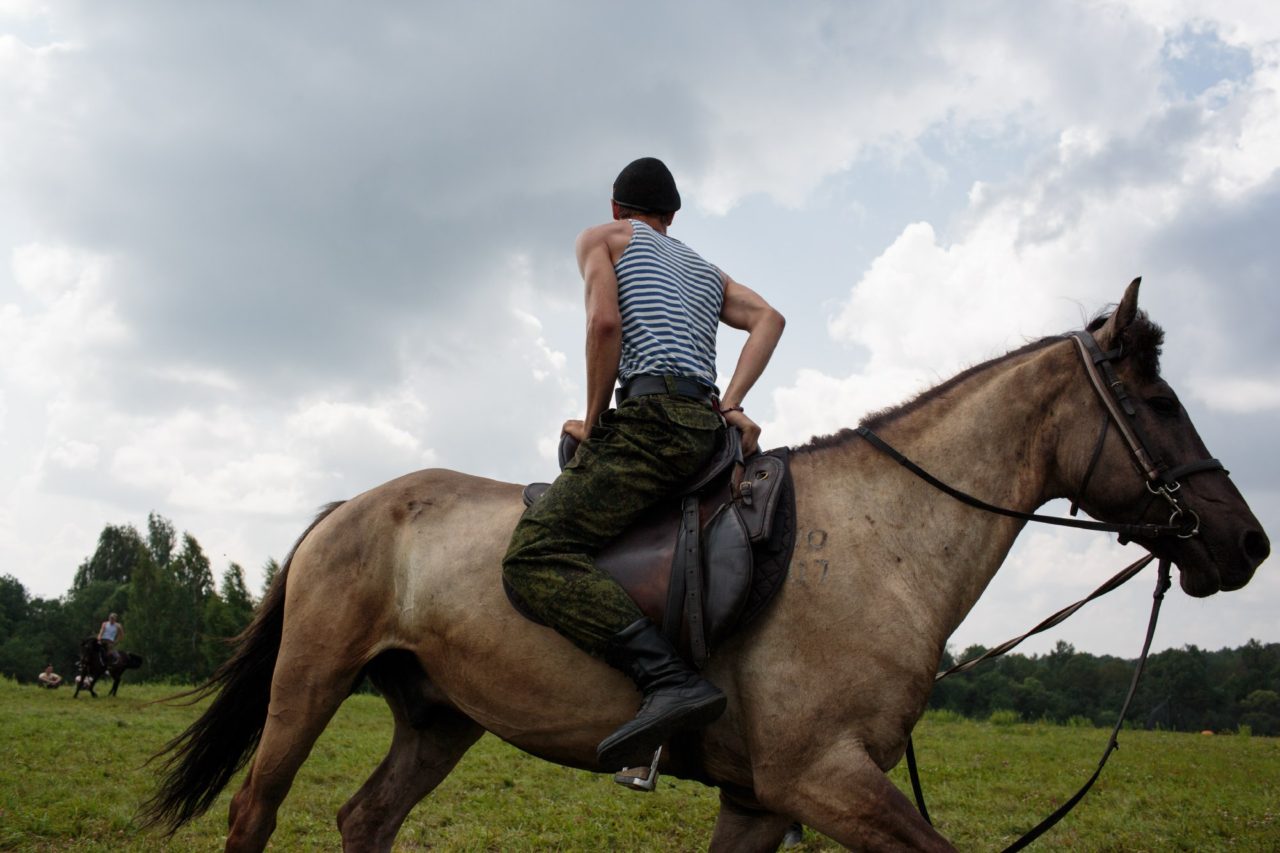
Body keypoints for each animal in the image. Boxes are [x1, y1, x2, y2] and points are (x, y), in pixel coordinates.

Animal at [145, 281, 1264, 845]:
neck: (881, 540)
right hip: (311, 681)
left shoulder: (765, 799)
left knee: (364, 816)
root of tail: (351, 507)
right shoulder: (825, 782)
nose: (1246, 541)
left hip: (438, 715)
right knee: (257, 807)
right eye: (1159, 402)